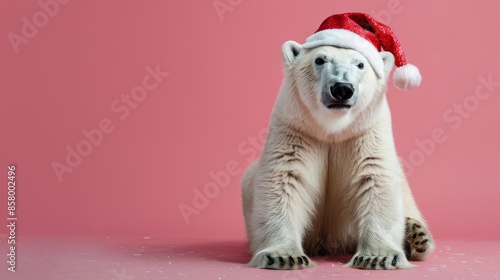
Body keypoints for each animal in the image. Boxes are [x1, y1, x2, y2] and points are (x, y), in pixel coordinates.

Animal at [241, 35, 434, 270]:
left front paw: (376, 257)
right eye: (320, 60)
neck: (333, 128)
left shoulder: (366, 131)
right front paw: (284, 256)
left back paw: (416, 235)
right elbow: (283, 179)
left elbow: (375, 178)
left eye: (360, 64)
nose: (342, 89)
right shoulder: (296, 128)